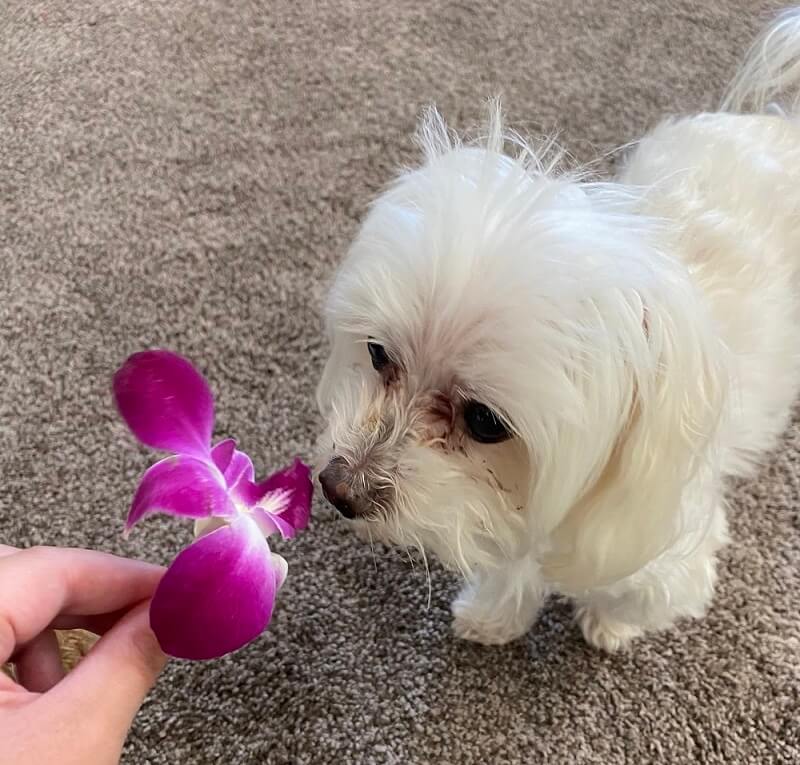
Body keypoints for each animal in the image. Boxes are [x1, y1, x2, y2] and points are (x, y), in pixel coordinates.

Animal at [316, 8, 800, 648]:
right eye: (377, 355)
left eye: (484, 421)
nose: (339, 489)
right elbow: (512, 557)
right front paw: (494, 614)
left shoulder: (657, 547)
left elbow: (627, 591)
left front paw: (610, 624)